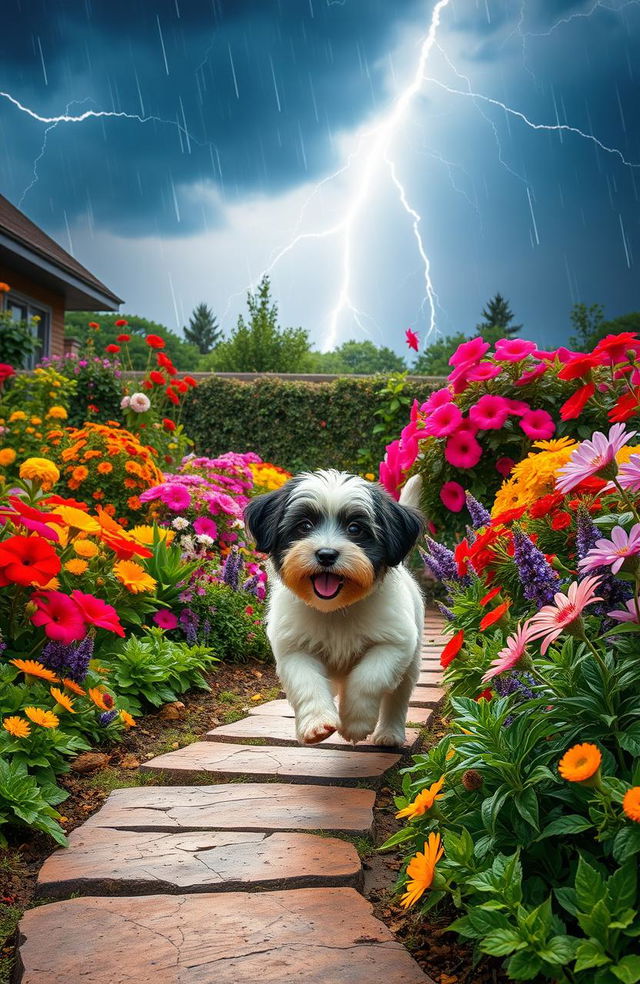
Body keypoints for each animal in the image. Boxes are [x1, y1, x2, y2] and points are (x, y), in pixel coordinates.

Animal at [242, 468, 422, 744]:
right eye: (304, 525)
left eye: (355, 528)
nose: (326, 554)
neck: (335, 609)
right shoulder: (293, 648)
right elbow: (306, 681)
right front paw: (316, 723)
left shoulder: (396, 643)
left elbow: (369, 678)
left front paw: (356, 722)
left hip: (411, 663)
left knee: (398, 696)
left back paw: (389, 733)